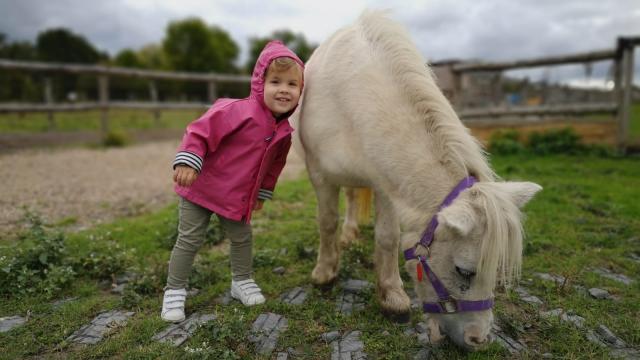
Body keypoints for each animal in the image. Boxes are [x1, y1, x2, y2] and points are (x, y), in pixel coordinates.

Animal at [290, 9, 540, 350]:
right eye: (464, 271)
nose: (477, 339)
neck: (350, 99)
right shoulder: (319, 174)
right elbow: (326, 222)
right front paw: (325, 273)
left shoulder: (384, 184)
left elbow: (388, 238)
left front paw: (391, 297)